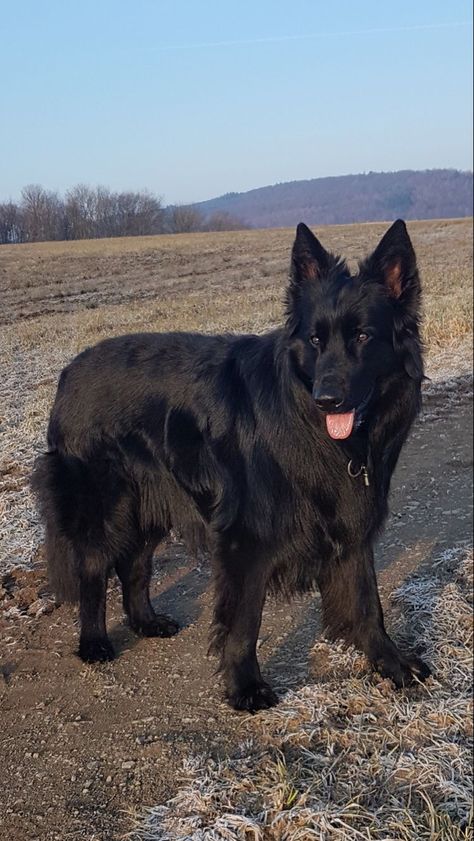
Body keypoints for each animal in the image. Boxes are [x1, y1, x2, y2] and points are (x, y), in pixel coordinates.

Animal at [30, 221, 430, 708]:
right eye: (316, 340)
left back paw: (146, 622)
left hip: (153, 501)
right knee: (93, 569)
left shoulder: (350, 526)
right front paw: (245, 687)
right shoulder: (245, 540)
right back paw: (94, 643)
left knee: (134, 565)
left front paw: (392, 663)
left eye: (363, 337)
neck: (307, 421)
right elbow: (244, 622)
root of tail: (69, 372)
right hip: (107, 506)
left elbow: (367, 603)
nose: (327, 399)